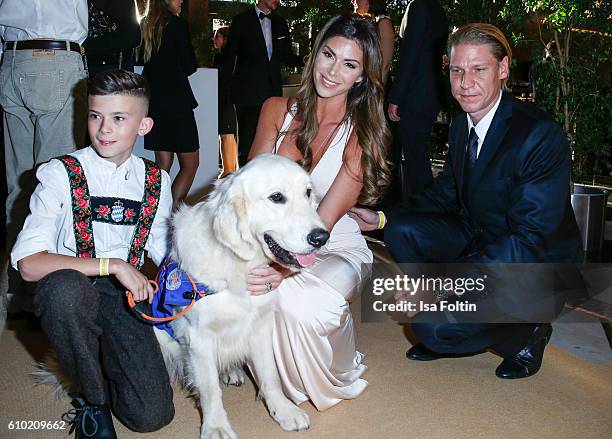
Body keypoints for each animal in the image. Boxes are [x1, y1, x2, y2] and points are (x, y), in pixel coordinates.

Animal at [158, 154, 330, 439]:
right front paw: (216, 426)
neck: (238, 266)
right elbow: (210, 389)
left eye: (307, 193)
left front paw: (283, 410)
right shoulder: (199, 338)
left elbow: (270, 375)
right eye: (276, 197)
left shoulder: (260, 326)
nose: (322, 237)